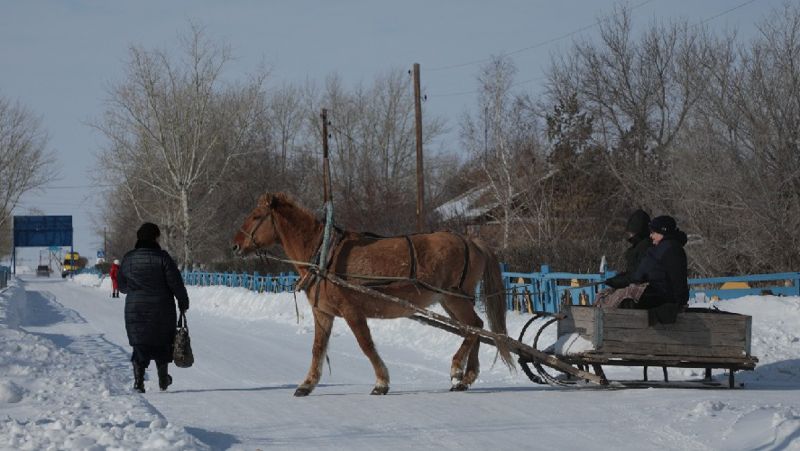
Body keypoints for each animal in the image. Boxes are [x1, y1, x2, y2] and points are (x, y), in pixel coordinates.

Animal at [231, 192, 512, 398]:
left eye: (256, 216)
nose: (235, 246)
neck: (324, 255)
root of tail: (472, 241)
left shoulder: (352, 311)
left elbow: (365, 345)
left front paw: (381, 382)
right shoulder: (322, 313)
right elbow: (317, 348)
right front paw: (307, 384)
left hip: (455, 298)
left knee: (473, 328)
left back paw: (457, 369)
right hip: (449, 302)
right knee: (475, 328)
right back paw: (466, 377)